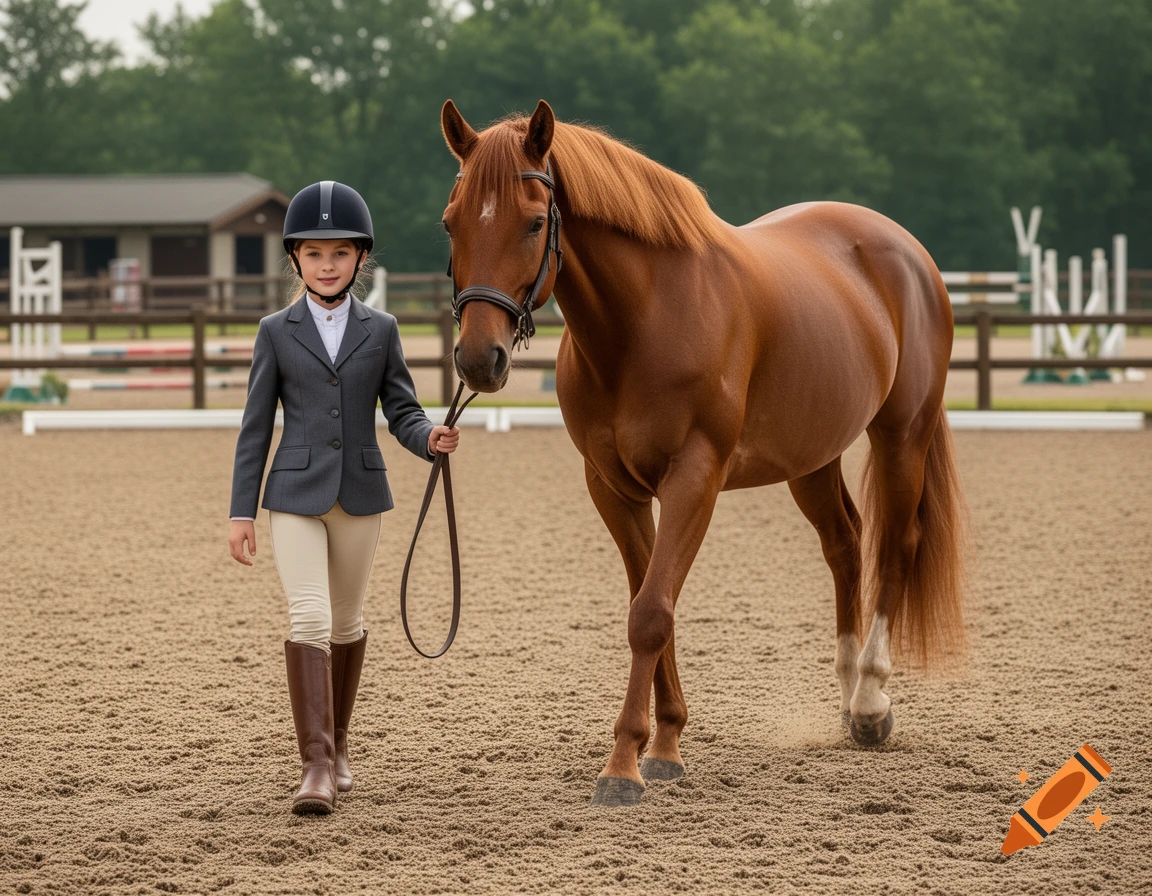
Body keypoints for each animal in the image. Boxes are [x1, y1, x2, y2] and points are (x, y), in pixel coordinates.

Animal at [439, 99, 967, 807]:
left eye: (532, 222)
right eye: (451, 222)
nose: (478, 359)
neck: (643, 320)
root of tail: (907, 251)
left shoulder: (695, 478)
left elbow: (650, 613)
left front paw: (623, 767)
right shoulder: (613, 487)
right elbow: (650, 603)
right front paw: (664, 745)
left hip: (902, 433)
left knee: (897, 548)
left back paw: (871, 702)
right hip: (811, 457)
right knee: (846, 544)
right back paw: (848, 689)